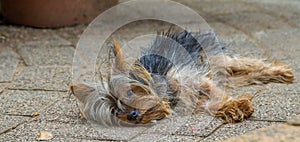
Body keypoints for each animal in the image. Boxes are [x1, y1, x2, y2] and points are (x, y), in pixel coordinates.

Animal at [69, 29, 294, 126]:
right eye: (115, 111)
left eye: (131, 92)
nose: (132, 115)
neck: (168, 96)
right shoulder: (194, 101)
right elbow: (209, 104)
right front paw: (231, 109)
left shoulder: (194, 78)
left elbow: (214, 92)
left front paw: (236, 105)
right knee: (249, 75)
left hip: (217, 57)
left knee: (250, 63)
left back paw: (280, 72)